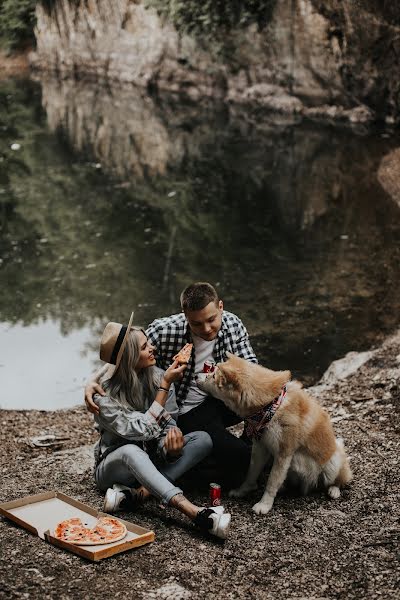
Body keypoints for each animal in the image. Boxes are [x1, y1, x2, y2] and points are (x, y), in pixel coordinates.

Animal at [198, 354, 352, 512]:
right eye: (212, 370)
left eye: (213, 375)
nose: (197, 375)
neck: (271, 406)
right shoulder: (260, 447)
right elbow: (251, 474)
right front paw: (243, 490)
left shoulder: (283, 454)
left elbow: (271, 482)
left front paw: (264, 505)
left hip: (332, 464)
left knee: (340, 480)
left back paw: (334, 490)